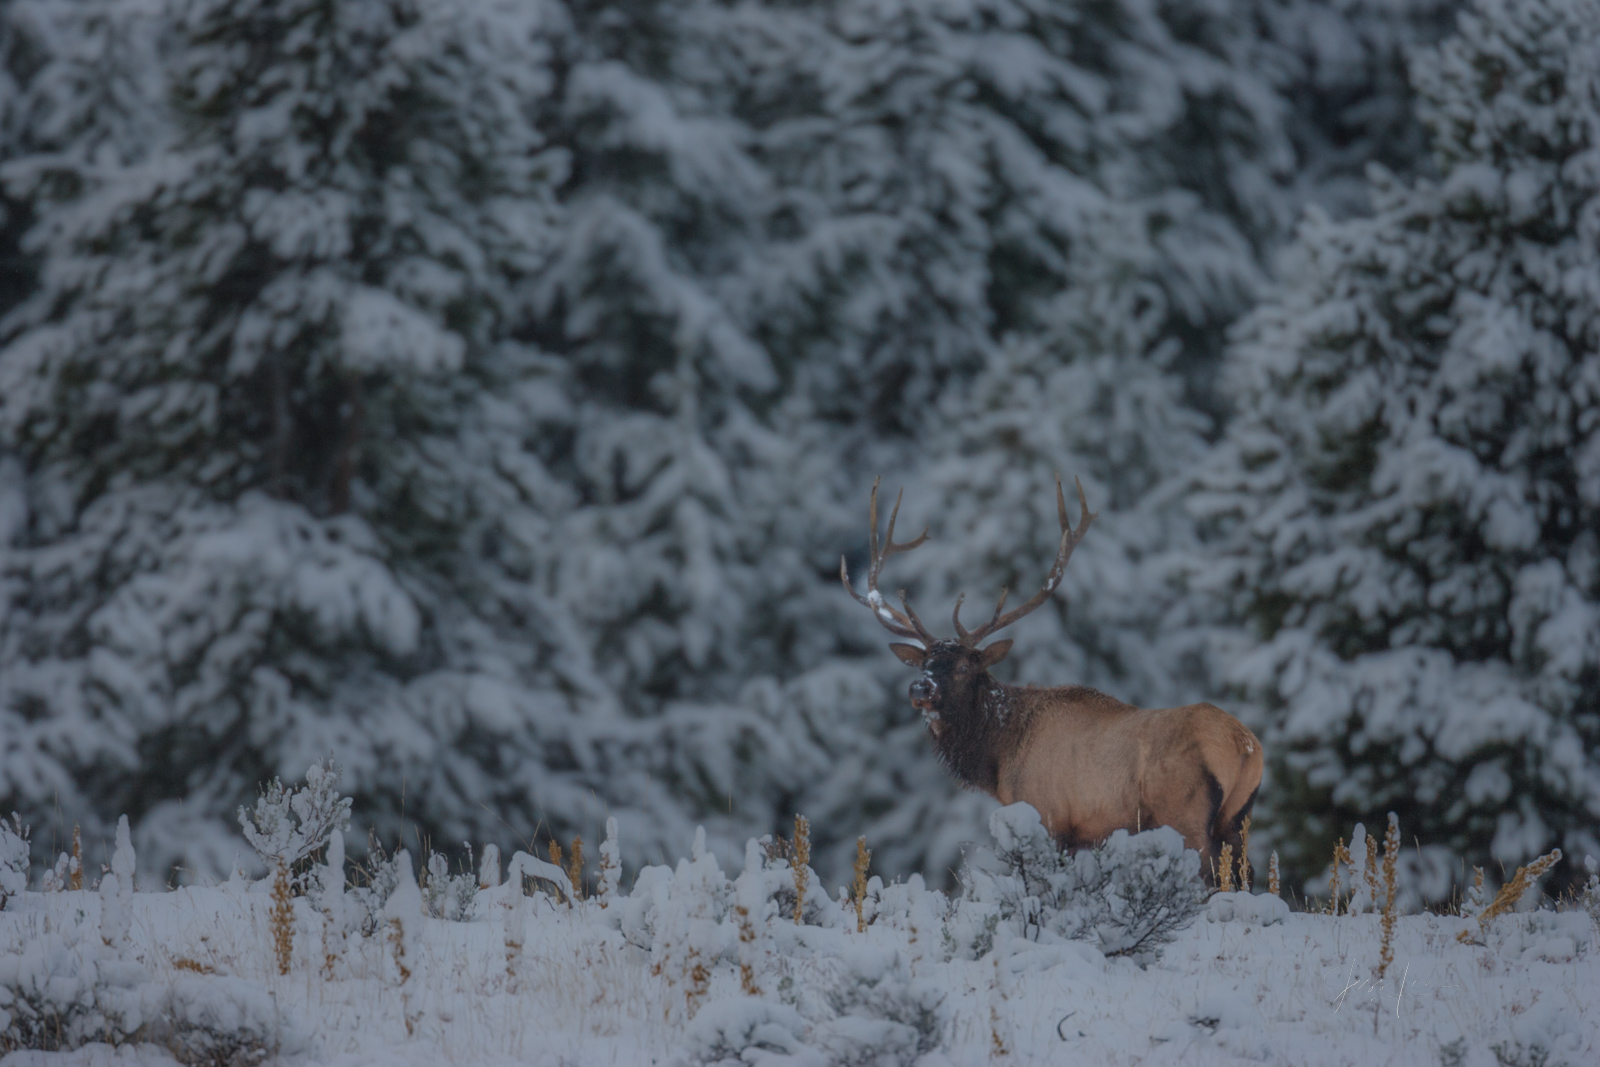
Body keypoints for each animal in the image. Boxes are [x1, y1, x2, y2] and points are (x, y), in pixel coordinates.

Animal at [844, 476, 1267, 883]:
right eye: (923, 665)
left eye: (965, 666)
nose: (920, 689)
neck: (998, 756)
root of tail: (1245, 745)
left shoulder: (1048, 816)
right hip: (1238, 818)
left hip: (1186, 812)